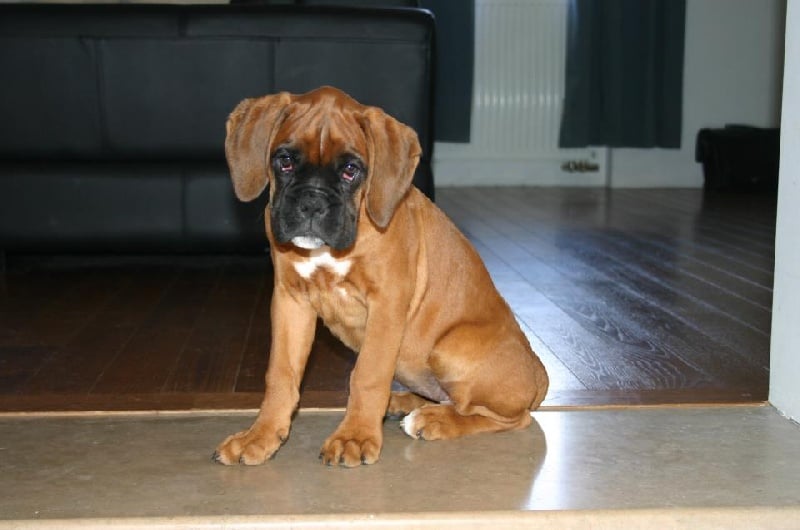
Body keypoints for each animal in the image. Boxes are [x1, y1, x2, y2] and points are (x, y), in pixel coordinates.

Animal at [213, 86, 549, 467]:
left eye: (350, 170)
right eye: (284, 161)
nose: (312, 203)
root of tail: (539, 373)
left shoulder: (386, 305)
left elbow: (368, 375)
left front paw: (354, 436)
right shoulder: (290, 300)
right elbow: (281, 375)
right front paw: (262, 435)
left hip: (449, 349)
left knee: (507, 416)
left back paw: (434, 420)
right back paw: (403, 402)